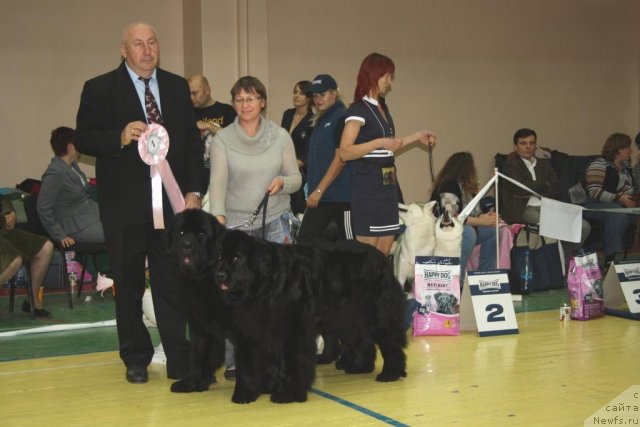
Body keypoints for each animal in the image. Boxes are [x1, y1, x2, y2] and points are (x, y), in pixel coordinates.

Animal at [166, 209, 231, 392]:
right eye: (181, 233)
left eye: (201, 234)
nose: (186, 245)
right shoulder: (198, 324)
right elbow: (196, 356)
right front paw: (191, 382)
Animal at [215, 229, 404, 402]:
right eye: (220, 257)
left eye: (236, 258)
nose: (219, 275)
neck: (266, 286)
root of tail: (382, 258)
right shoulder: (255, 332)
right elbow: (251, 365)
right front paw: (249, 392)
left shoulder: (293, 331)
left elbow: (292, 363)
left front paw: (287, 394)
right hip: (349, 317)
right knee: (361, 340)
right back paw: (360, 366)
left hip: (377, 314)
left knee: (390, 343)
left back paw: (390, 373)